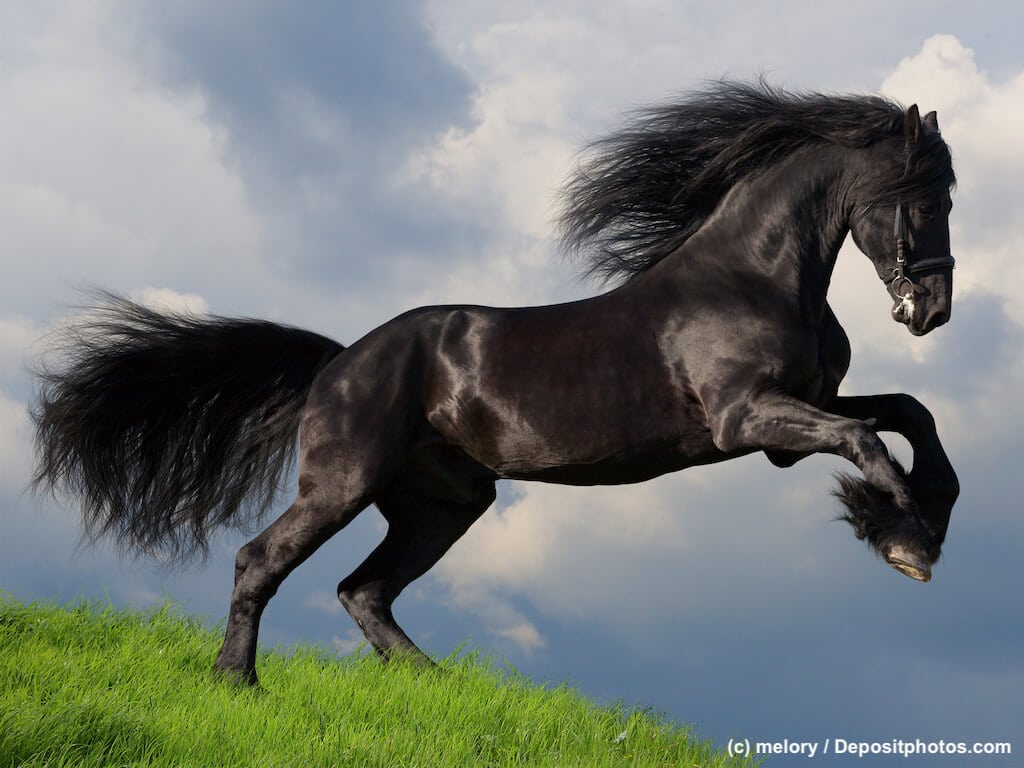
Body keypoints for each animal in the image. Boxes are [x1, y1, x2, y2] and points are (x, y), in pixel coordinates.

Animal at [32, 81, 959, 685]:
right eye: (924, 199)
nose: (933, 312)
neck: (753, 278)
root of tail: (337, 363)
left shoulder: (793, 420)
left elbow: (909, 416)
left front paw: (921, 523)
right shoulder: (747, 421)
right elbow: (869, 438)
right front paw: (905, 542)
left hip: (443, 503)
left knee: (363, 589)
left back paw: (435, 685)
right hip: (344, 482)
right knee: (264, 560)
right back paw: (236, 681)